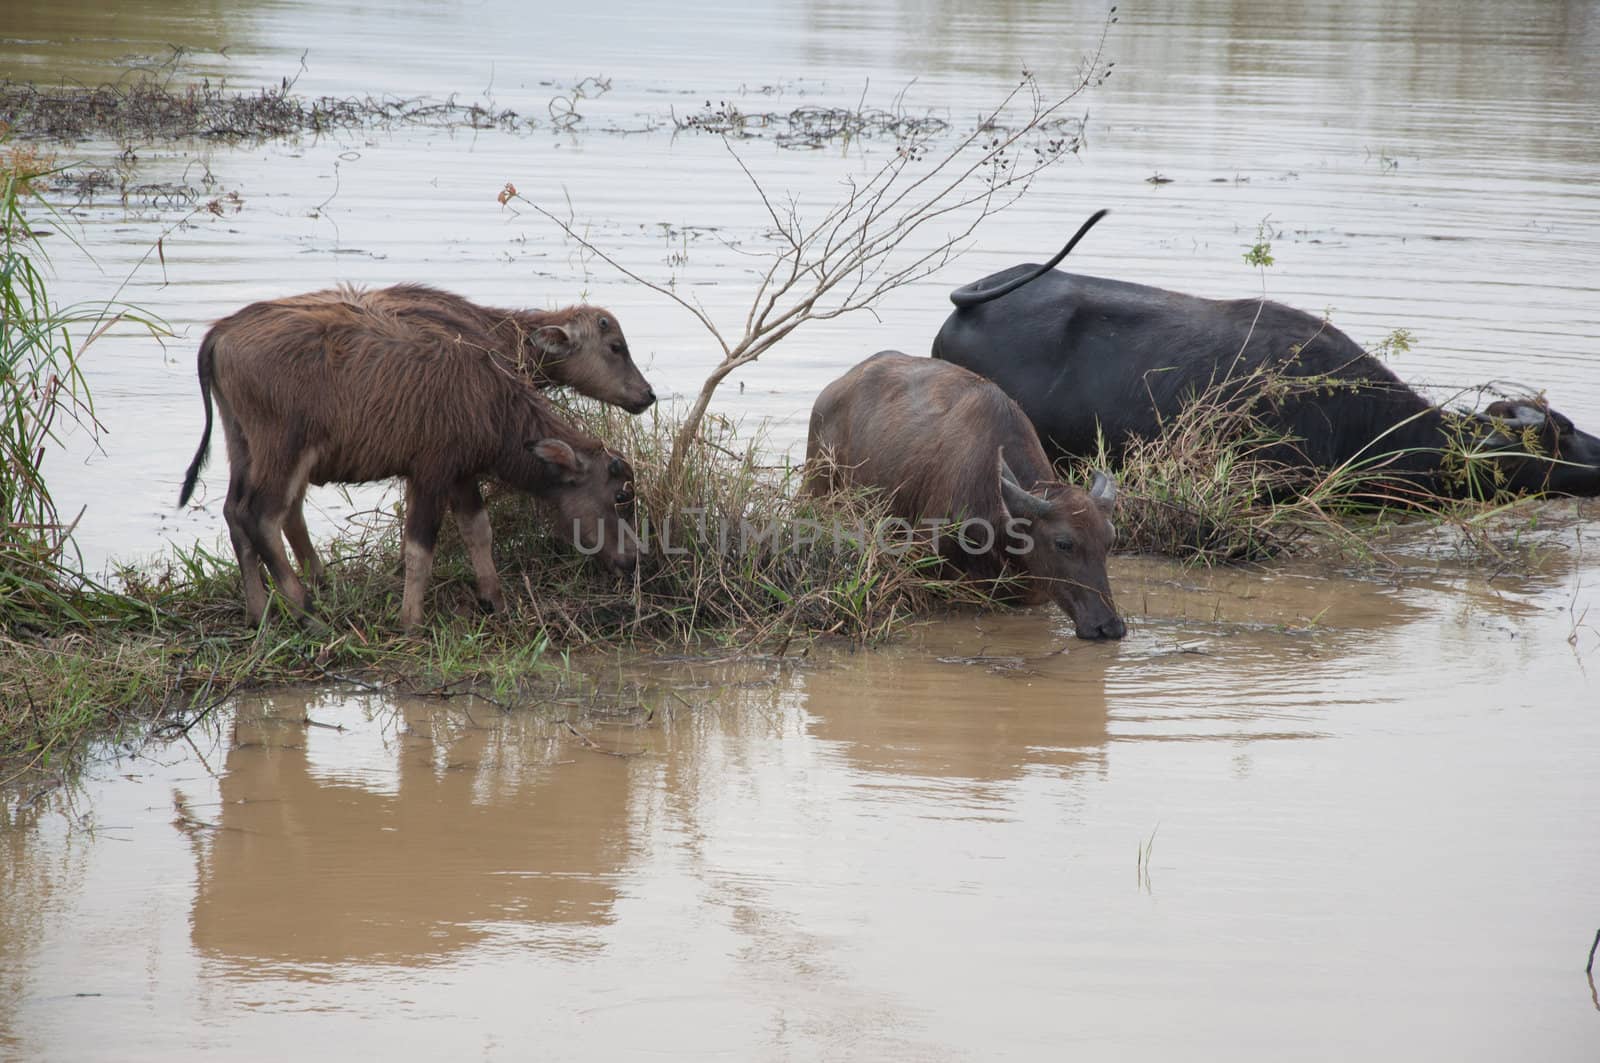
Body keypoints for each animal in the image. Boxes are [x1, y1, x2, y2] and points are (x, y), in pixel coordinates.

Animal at [178, 292, 640, 624]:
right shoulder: (430, 474)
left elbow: (479, 531)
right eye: (620, 496)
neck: (491, 399)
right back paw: (307, 613)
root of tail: (221, 333)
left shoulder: (461, 474)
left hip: (242, 446)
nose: (636, 558)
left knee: (236, 513)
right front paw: (411, 620)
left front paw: (495, 600)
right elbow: (420, 548)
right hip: (284, 451)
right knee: (262, 517)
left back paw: (260, 613)